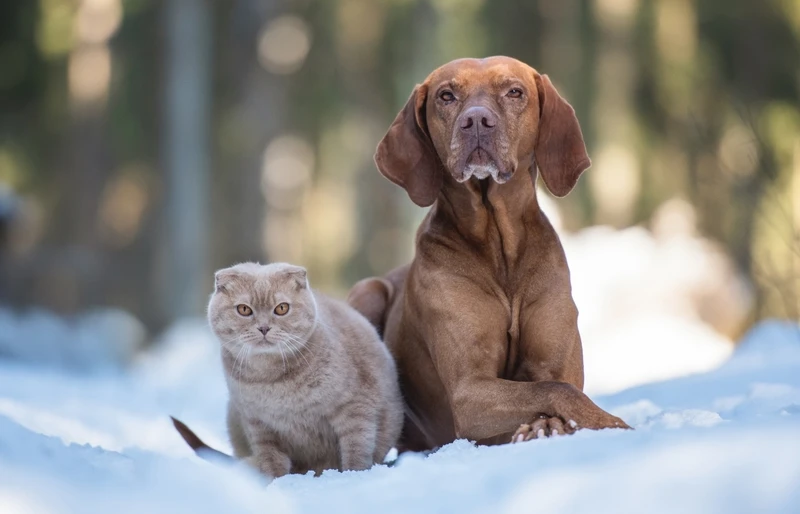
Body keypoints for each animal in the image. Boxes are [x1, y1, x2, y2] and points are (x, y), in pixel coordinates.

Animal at [173, 262, 404, 478]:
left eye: (282, 308)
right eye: (244, 309)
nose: (264, 328)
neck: (271, 379)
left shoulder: (355, 407)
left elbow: (357, 448)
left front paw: (352, 476)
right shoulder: (259, 424)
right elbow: (271, 461)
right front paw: (275, 482)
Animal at [350, 54, 632, 450]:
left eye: (514, 91)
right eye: (446, 95)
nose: (476, 122)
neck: (500, 248)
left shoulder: (556, 363)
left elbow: (557, 386)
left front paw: (554, 427)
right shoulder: (469, 391)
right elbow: (555, 391)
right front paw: (609, 424)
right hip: (367, 292)